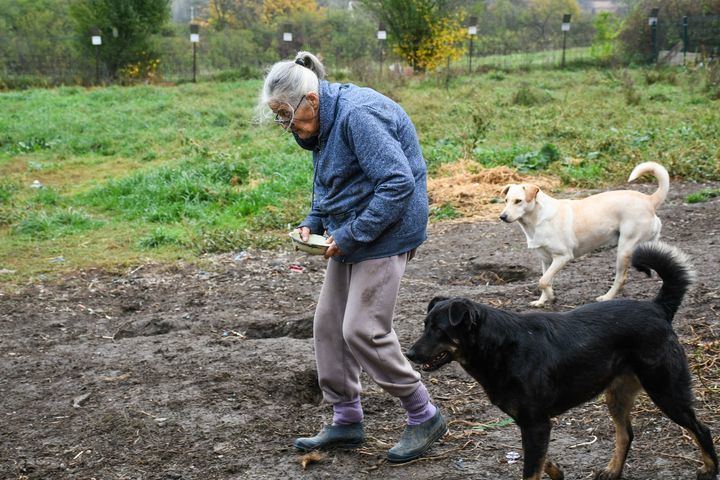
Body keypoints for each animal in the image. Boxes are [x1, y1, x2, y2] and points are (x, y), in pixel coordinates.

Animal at [408, 242, 716, 480]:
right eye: (425, 325)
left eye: (438, 330)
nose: (409, 354)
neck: (500, 347)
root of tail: (657, 307)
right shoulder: (532, 423)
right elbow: (539, 459)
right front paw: (556, 470)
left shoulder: (536, 423)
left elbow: (531, 470)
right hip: (617, 394)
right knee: (626, 434)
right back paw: (613, 471)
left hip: (666, 390)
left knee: (702, 429)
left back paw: (709, 469)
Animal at [500, 160, 668, 304]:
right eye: (506, 200)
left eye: (518, 201)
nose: (502, 216)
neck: (536, 220)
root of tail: (649, 199)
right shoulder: (546, 260)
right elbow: (546, 281)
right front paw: (543, 300)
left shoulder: (563, 257)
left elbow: (542, 281)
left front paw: (552, 297)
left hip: (624, 250)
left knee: (621, 278)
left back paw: (607, 297)